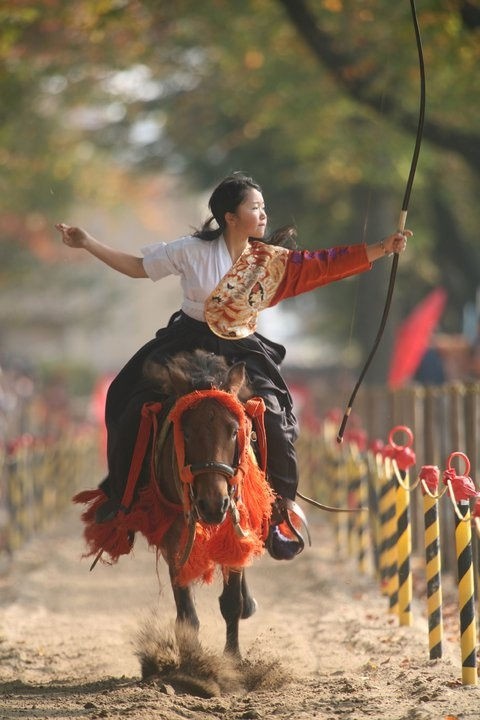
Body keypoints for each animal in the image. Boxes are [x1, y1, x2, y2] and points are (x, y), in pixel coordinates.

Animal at [77, 348, 276, 660]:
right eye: (187, 432)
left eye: (234, 431)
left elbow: (231, 600)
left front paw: (233, 657)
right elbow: (186, 612)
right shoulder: (173, 531)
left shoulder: (234, 522)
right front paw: (192, 661)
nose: (212, 504)